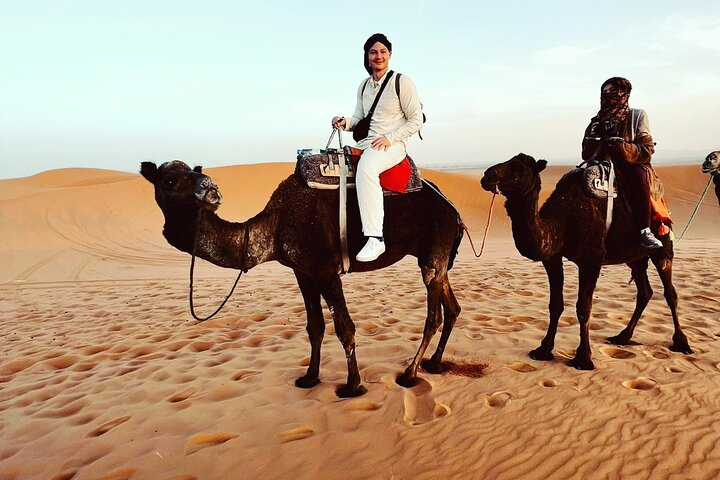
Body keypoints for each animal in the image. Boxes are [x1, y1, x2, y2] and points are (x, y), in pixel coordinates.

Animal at [140, 160, 463, 397]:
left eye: (195, 173)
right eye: (169, 179)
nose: (211, 188)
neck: (275, 225)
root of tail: (453, 207)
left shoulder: (325, 269)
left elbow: (344, 328)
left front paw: (352, 385)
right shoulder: (302, 271)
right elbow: (314, 327)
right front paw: (310, 377)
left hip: (434, 248)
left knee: (433, 314)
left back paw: (410, 373)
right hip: (437, 256)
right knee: (452, 307)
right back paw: (434, 363)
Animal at [480, 153, 692, 370]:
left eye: (520, 169)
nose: (487, 175)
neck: (563, 220)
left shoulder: (591, 260)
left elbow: (584, 308)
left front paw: (583, 358)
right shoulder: (552, 259)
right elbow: (555, 305)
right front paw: (543, 350)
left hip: (663, 247)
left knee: (670, 293)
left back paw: (682, 343)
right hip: (635, 258)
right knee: (645, 292)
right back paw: (622, 337)